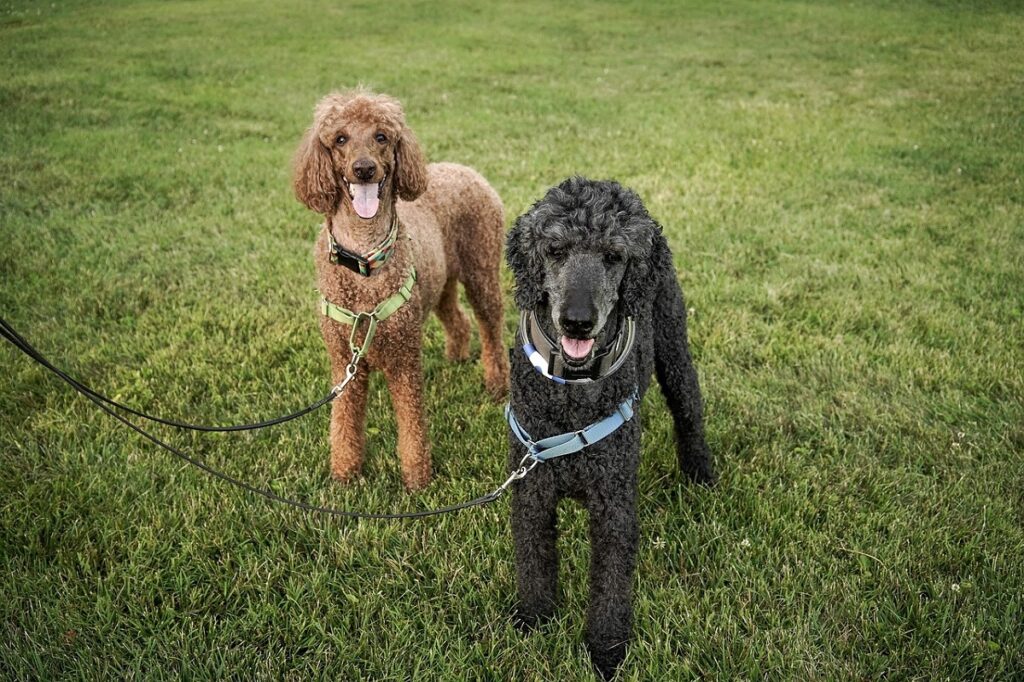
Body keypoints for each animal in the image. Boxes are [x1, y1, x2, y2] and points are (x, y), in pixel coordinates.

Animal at [292, 89, 507, 489]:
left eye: (381, 136)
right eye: (340, 139)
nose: (364, 169)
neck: (364, 260)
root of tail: (465, 169)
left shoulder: (404, 359)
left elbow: (412, 426)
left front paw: (417, 481)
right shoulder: (344, 361)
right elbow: (343, 422)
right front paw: (345, 476)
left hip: (482, 273)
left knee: (491, 332)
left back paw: (497, 385)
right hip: (438, 282)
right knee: (458, 320)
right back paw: (456, 356)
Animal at [501, 178, 712, 675]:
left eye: (614, 256)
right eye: (555, 250)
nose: (577, 321)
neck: (573, 391)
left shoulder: (614, 502)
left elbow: (612, 585)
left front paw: (606, 651)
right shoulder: (532, 492)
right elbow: (533, 561)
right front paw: (535, 621)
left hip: (674, 345)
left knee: (689, 409)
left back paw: (701, 473)